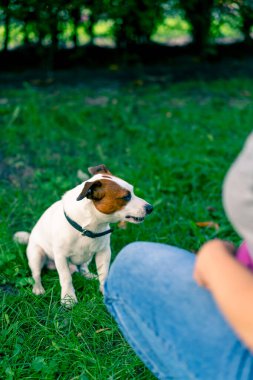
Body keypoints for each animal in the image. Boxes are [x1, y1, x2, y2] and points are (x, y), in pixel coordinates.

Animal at [14, 165, 152, 308]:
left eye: (132, 191)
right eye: (126, 197)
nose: (150, 208)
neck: (89, 227)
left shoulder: (104, 252)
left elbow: (103, 273)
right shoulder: (61, 257)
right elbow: (66, 277)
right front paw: (68, 298)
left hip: (88, 256)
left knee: (83, 268)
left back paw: (89, 275)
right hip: (36, 254)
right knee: (36, 274)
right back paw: (38, 288)